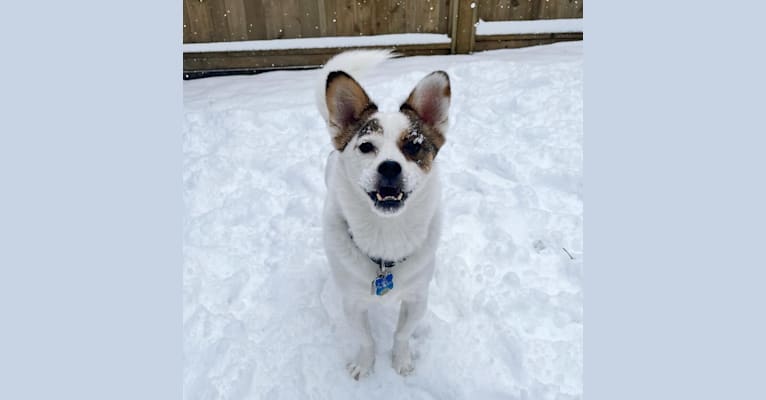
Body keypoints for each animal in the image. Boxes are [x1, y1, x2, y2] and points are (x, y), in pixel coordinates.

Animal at [316, 51, 452, 380]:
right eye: (366, 146)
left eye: (414, 145)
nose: (390, 167)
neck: (386, 233)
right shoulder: (353, 302)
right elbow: (366, 338)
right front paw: (364, 365)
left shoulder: (417, 297)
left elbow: (402, 334)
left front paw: (401, 361)